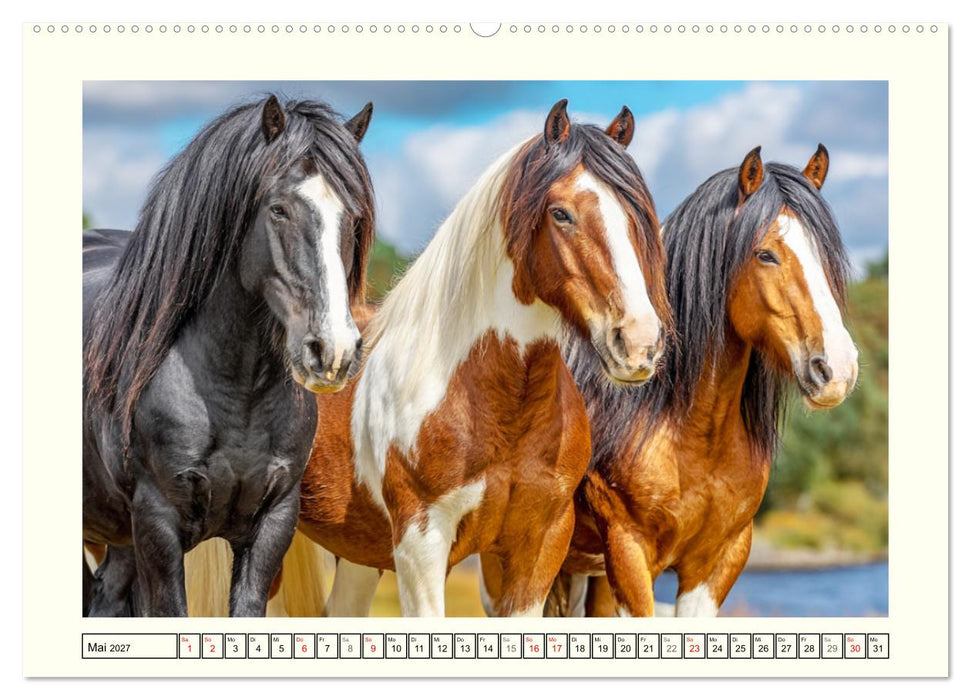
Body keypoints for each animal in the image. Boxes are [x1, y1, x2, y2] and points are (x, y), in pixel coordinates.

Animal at [82, 96, 376, 616]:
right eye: (278, 209)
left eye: (355, 218)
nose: (334, 351)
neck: (237, 391)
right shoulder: (158, 527)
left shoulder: (273, 524)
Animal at [245, 100, 672, 618]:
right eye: (561, 213)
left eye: (637, 214)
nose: (639, 342)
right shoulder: (421, 544)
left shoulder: (540, 546)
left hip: (357, 555)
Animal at [497, 145, 859, 618]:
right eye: (765, 254)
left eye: (827, 256)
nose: (837, 369)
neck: (688, 432)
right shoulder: (629, 555)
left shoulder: (715, 563)